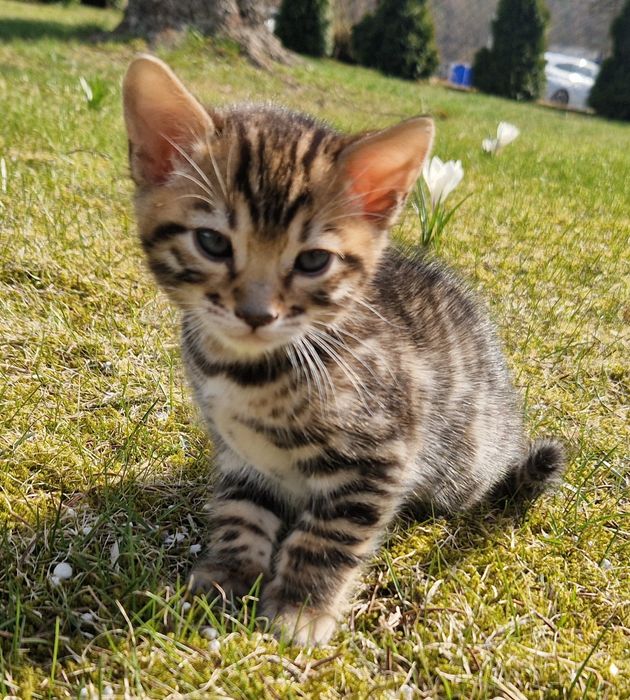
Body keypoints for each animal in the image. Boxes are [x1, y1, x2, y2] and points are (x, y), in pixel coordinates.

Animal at [122, 54, 566, 646]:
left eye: (313, 261)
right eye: (212, 242)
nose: (256, 314)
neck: (246, 371)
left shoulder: (380, 453)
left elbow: (329, 536)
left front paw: (302, 608)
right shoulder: (240, 453)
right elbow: (240, 510)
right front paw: (228, 571)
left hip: (462, 467)